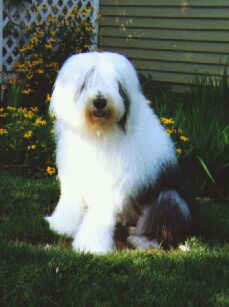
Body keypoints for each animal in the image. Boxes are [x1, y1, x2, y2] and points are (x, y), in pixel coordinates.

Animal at [45, 51, 195, 255]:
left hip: (170, 198)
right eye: (86, 81)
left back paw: (140, 239)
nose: (100, 101)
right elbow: (70, 202)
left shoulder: (110, 184)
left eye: (115, 84)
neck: (99, 133)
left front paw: (90, 245)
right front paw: (61, 226)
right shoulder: (73, 174)